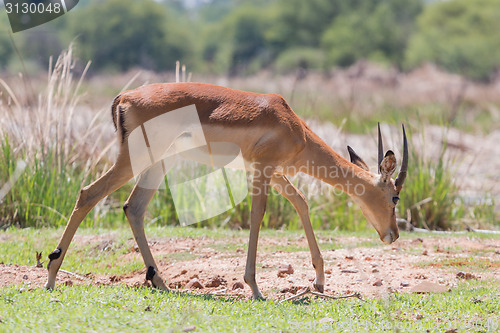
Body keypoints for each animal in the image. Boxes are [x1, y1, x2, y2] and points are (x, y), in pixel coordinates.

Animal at [45, 82, 408, 298]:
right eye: (394, 196)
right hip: (135, 161)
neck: (293, 126)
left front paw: (318, 281)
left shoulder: (273, 173)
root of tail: (124, 97)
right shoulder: (263, 169)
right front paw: (255, 288)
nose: (392, 234)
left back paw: (160, 282)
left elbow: (301, 202)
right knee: (88, 193)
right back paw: (50, 275)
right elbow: (258, 215)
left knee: (133, 207)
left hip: (159, 163)